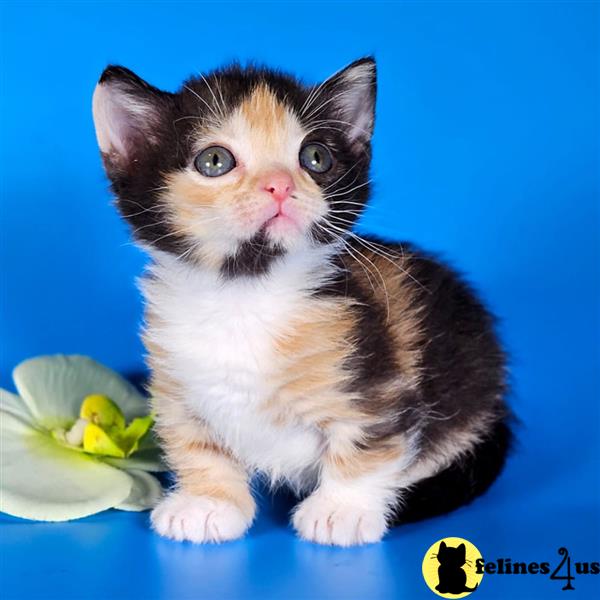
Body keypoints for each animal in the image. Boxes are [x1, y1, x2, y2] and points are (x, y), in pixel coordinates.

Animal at [92, 58, 510, 548]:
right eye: (214, 161)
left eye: (316, 157)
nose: (279, 185)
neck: (245, 294)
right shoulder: (177, 388)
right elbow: (196, 444)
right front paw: (208, 502)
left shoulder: (376, 378)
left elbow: (368, 442)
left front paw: (340, 511)